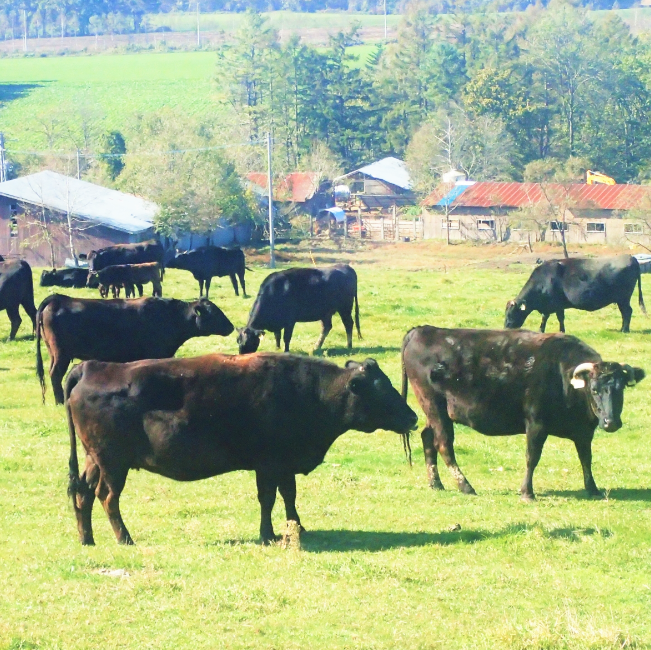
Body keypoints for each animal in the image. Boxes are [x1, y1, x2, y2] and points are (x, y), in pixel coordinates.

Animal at [35, 294, 234, 404]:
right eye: (214, 312)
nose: (231, 327)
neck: (171, 316)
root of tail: (59, 298)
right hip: (61, 354)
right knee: (55, 374)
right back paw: (59, 401)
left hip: (54, 353)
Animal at [402, 326, 648, 498]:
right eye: (594, 390)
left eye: (621, 390)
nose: (610, 422)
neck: (562, 377)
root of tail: (422, 330)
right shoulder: (536, 423)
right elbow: (532, 457)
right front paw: (527, 492)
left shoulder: (584, 431)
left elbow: (586, 458)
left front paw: (593, 489)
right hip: (435, 406)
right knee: (444, 444)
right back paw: (465, 486)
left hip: (433, 412)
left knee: (428, 438)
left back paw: (436, 484)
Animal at [506, 253, 644, 332]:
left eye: (510, 314)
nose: (506, 328)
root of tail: (631, 257)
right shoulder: (556, 306)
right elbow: (558, 318)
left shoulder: (553, 304)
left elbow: (550, 318)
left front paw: (545, 330)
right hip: (621, 300)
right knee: (625, 312)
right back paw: (622, 328)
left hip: (623, 298)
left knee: (627, 311)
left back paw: (625, 330)